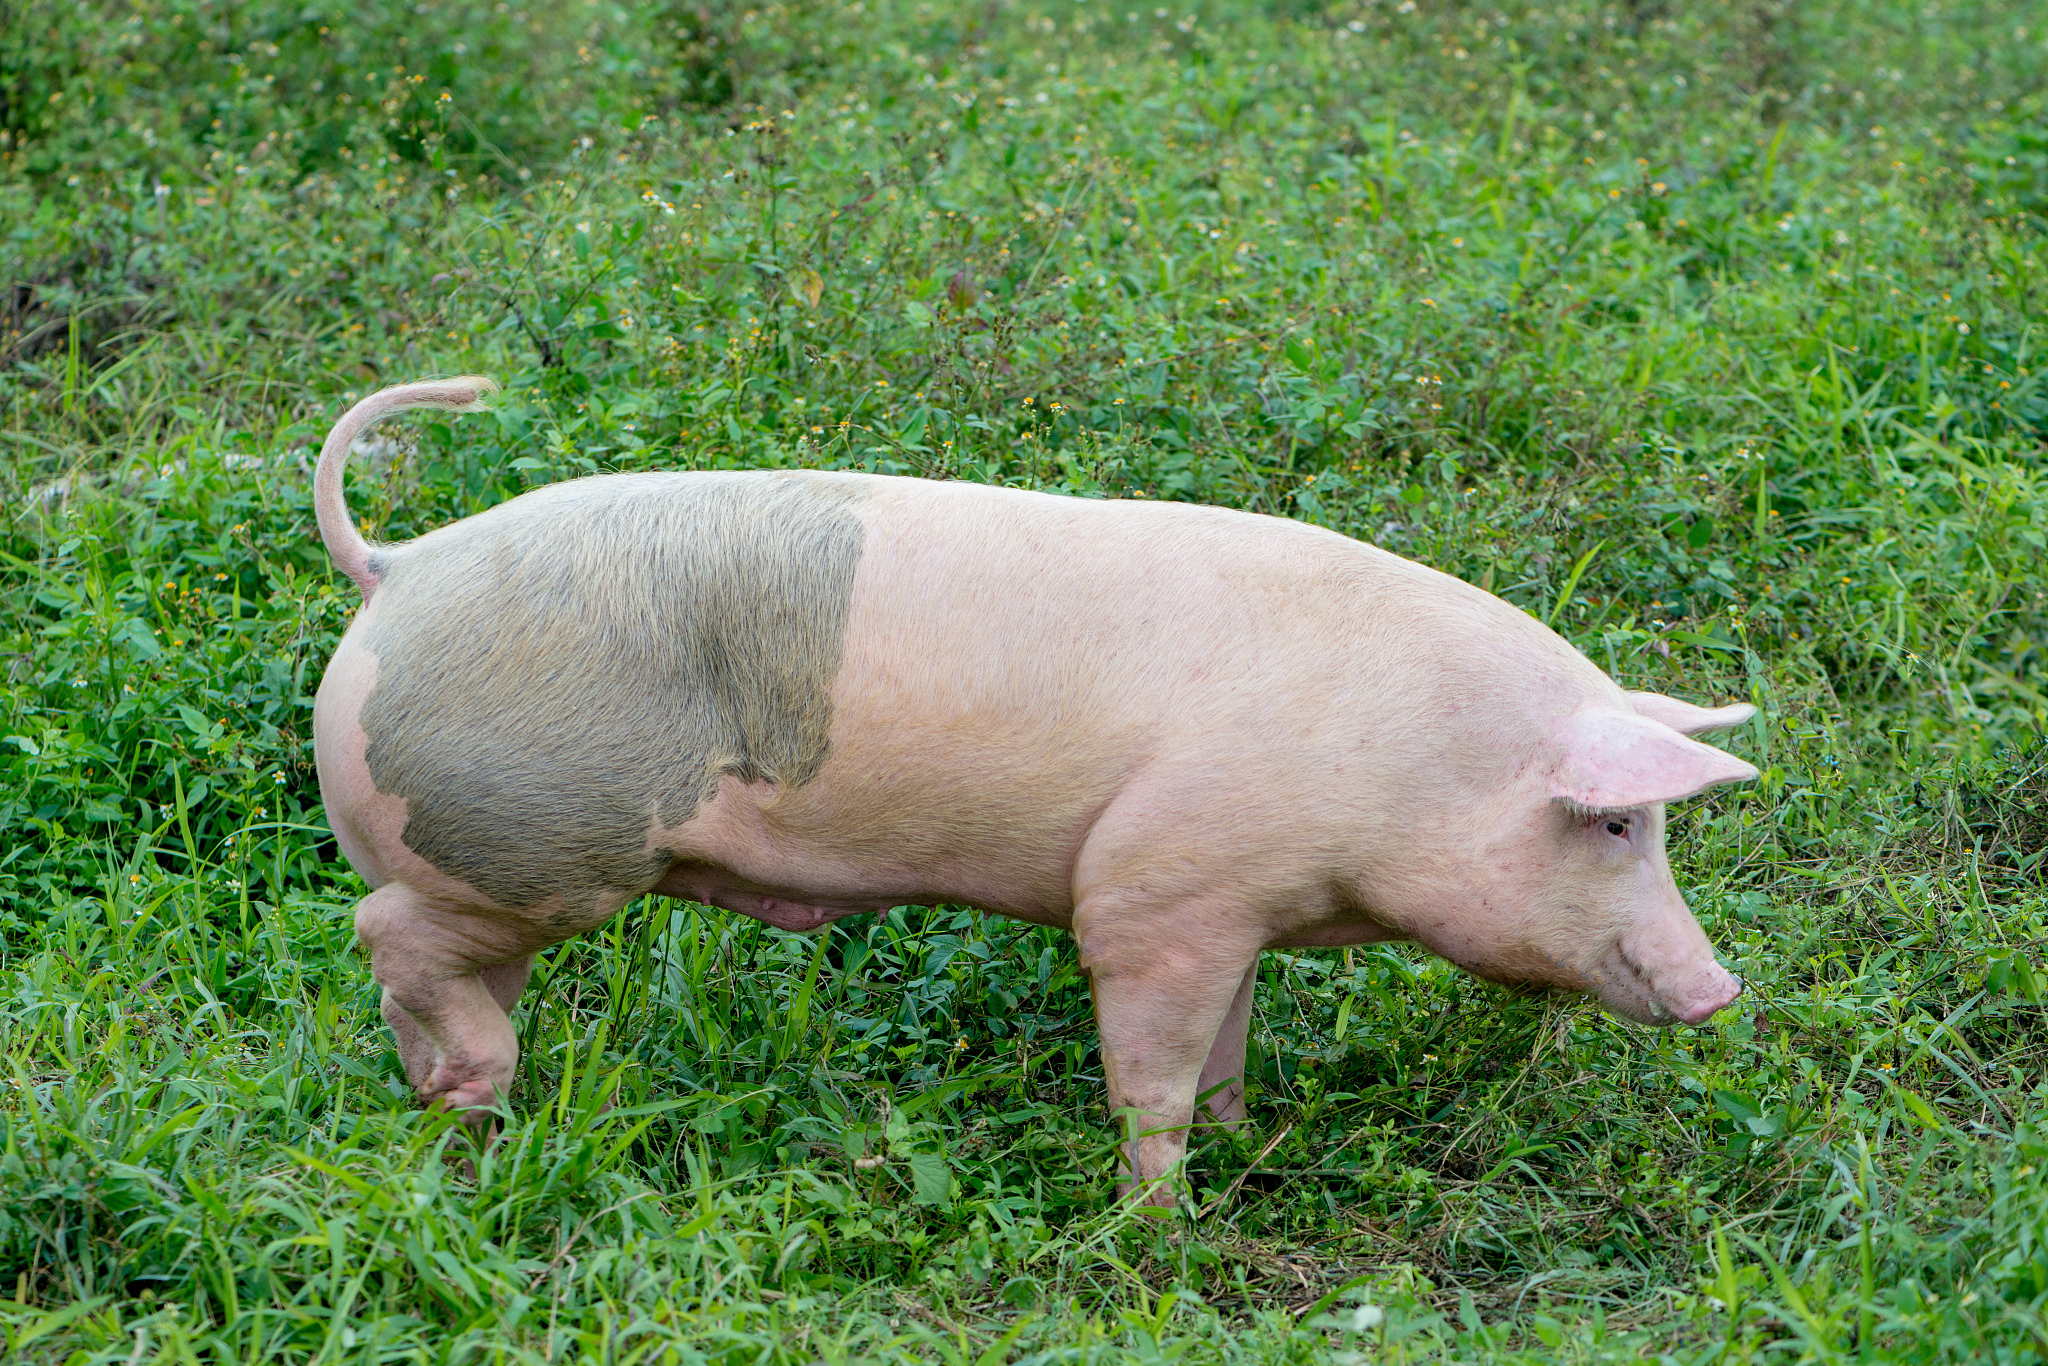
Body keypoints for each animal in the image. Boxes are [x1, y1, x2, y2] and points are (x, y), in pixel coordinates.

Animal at [311, 378, 1753, 1204]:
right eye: (1614, 820)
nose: (1720, 986)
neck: (1404, 760)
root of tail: (398, 565)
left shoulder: (1237, 907)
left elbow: (1228, 1051)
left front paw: (1247, 1149)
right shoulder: (1156, 892)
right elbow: (1151, 1076)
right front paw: (1161, 1224)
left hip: (488, 857)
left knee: (425, 978)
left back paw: (464, 1115)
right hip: (543, 844)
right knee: (382, 935)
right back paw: (480, 1088)